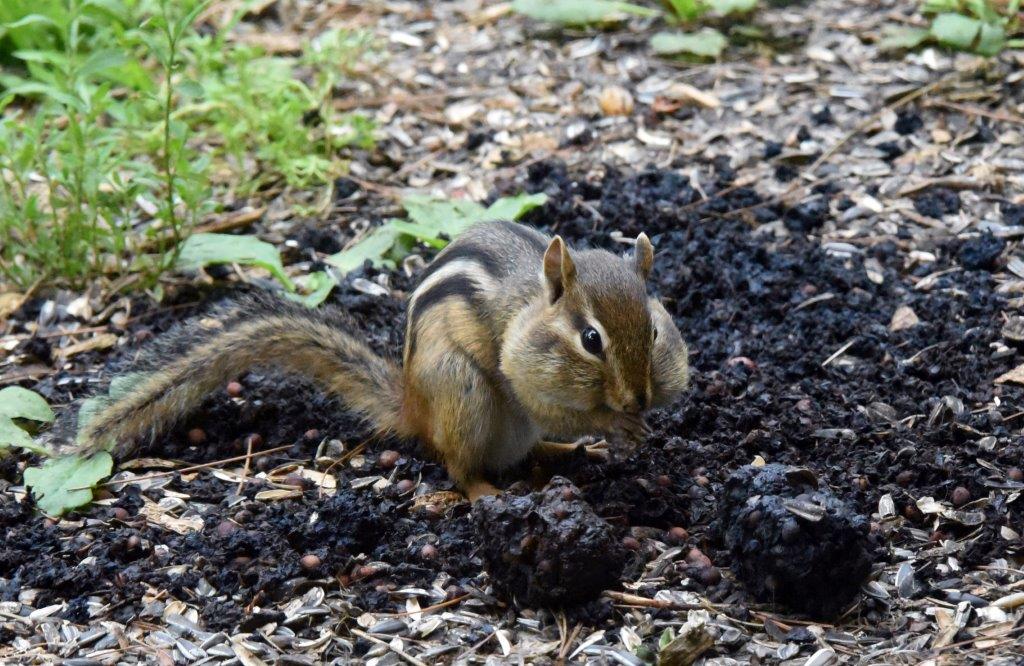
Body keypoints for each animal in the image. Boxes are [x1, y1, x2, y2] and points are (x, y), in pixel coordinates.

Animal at [70, 220, 690, 500]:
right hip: (462, 391)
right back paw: (486, 492)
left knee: (529, 447)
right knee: (459, 465)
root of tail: (414, 406)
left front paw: (634, 425)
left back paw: (566, 452)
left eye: (655, 329)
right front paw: (614, 424)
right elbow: (554, 404)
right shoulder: (523, 371)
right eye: (591, 339)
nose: (639, 398)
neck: (533, 308)